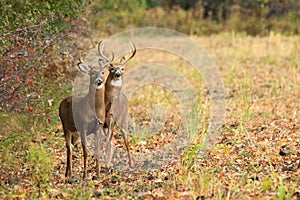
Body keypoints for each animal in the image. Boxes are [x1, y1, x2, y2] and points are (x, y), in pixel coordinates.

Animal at [58, 50, 112, 180]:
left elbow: (97, 151)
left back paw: (67, 173)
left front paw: (98, 175)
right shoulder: (83, 126)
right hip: (65, 127)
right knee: (69, 148)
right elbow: (86, 152)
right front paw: (85, 176)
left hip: (74, 133)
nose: (99, 81)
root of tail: (62, 101)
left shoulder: (98, 127)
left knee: (70, 147)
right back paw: (70, 175)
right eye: (92, 73)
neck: (93, 110)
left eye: (102, 72)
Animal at [97, 41, 136, 169]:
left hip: (123, 120)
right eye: (112, 68)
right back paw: (108, 164)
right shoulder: (101, 122)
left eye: (123, 68)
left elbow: (107, 143)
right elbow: (105, 143)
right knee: (113, 142)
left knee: (126, 141)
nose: (118, 74)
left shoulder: (112, 121)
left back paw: (131, 164)